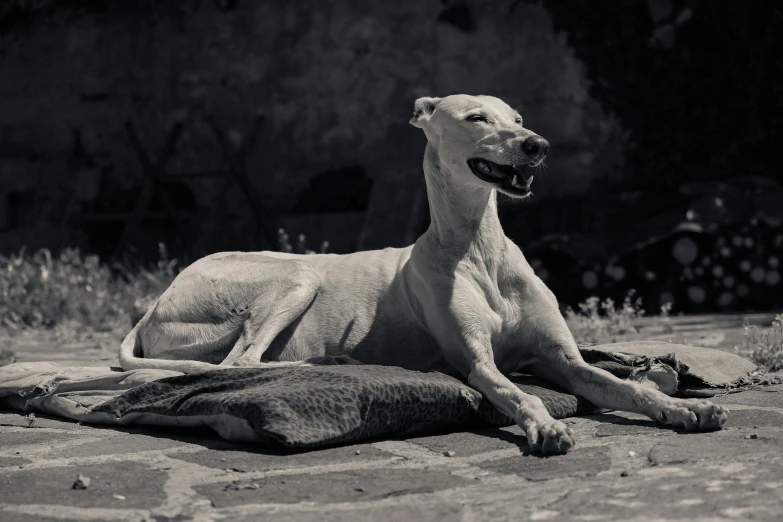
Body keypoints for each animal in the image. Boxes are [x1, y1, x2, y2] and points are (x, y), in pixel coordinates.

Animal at [122, 95, 728, 452]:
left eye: (518, 119)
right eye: (477, 118)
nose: (538, 145)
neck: (479, 249)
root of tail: (152, 307)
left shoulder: (564, 361)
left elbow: (626, 386)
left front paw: (683, 407)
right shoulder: (479, 366)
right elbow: (519, 394)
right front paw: (545, 425)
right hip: (297, 276)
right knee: (239, 363)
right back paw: (331, 362)